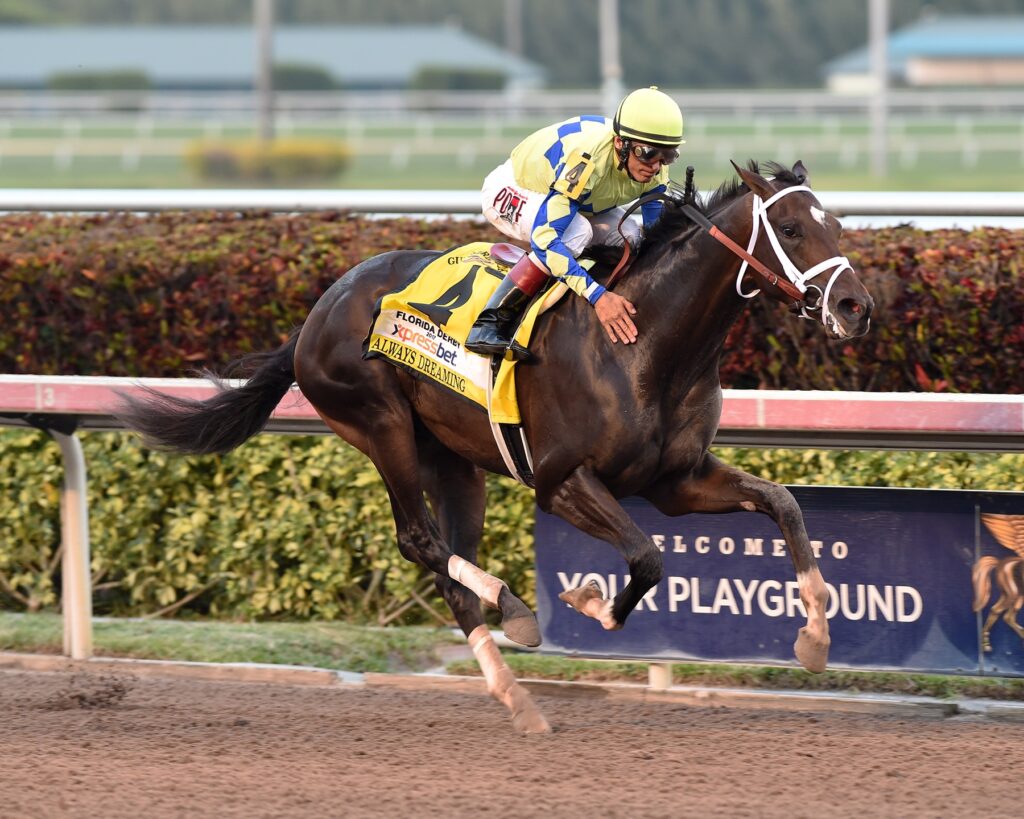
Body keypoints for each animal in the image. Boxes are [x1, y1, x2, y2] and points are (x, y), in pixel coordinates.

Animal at [117, 159, 872, 728]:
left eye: (837, 224)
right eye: (792, 227)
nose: (856, 307)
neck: (645, 341)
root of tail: (316, 314)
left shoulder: (675, 480)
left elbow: (782, 504)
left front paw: (814, 639)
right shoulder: (562, 481)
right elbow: (646, 556)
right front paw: (588, 602)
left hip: (455, 462)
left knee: (448, 566)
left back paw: (516, 695)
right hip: (379, 423)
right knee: (419, 541)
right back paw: (515, 610)